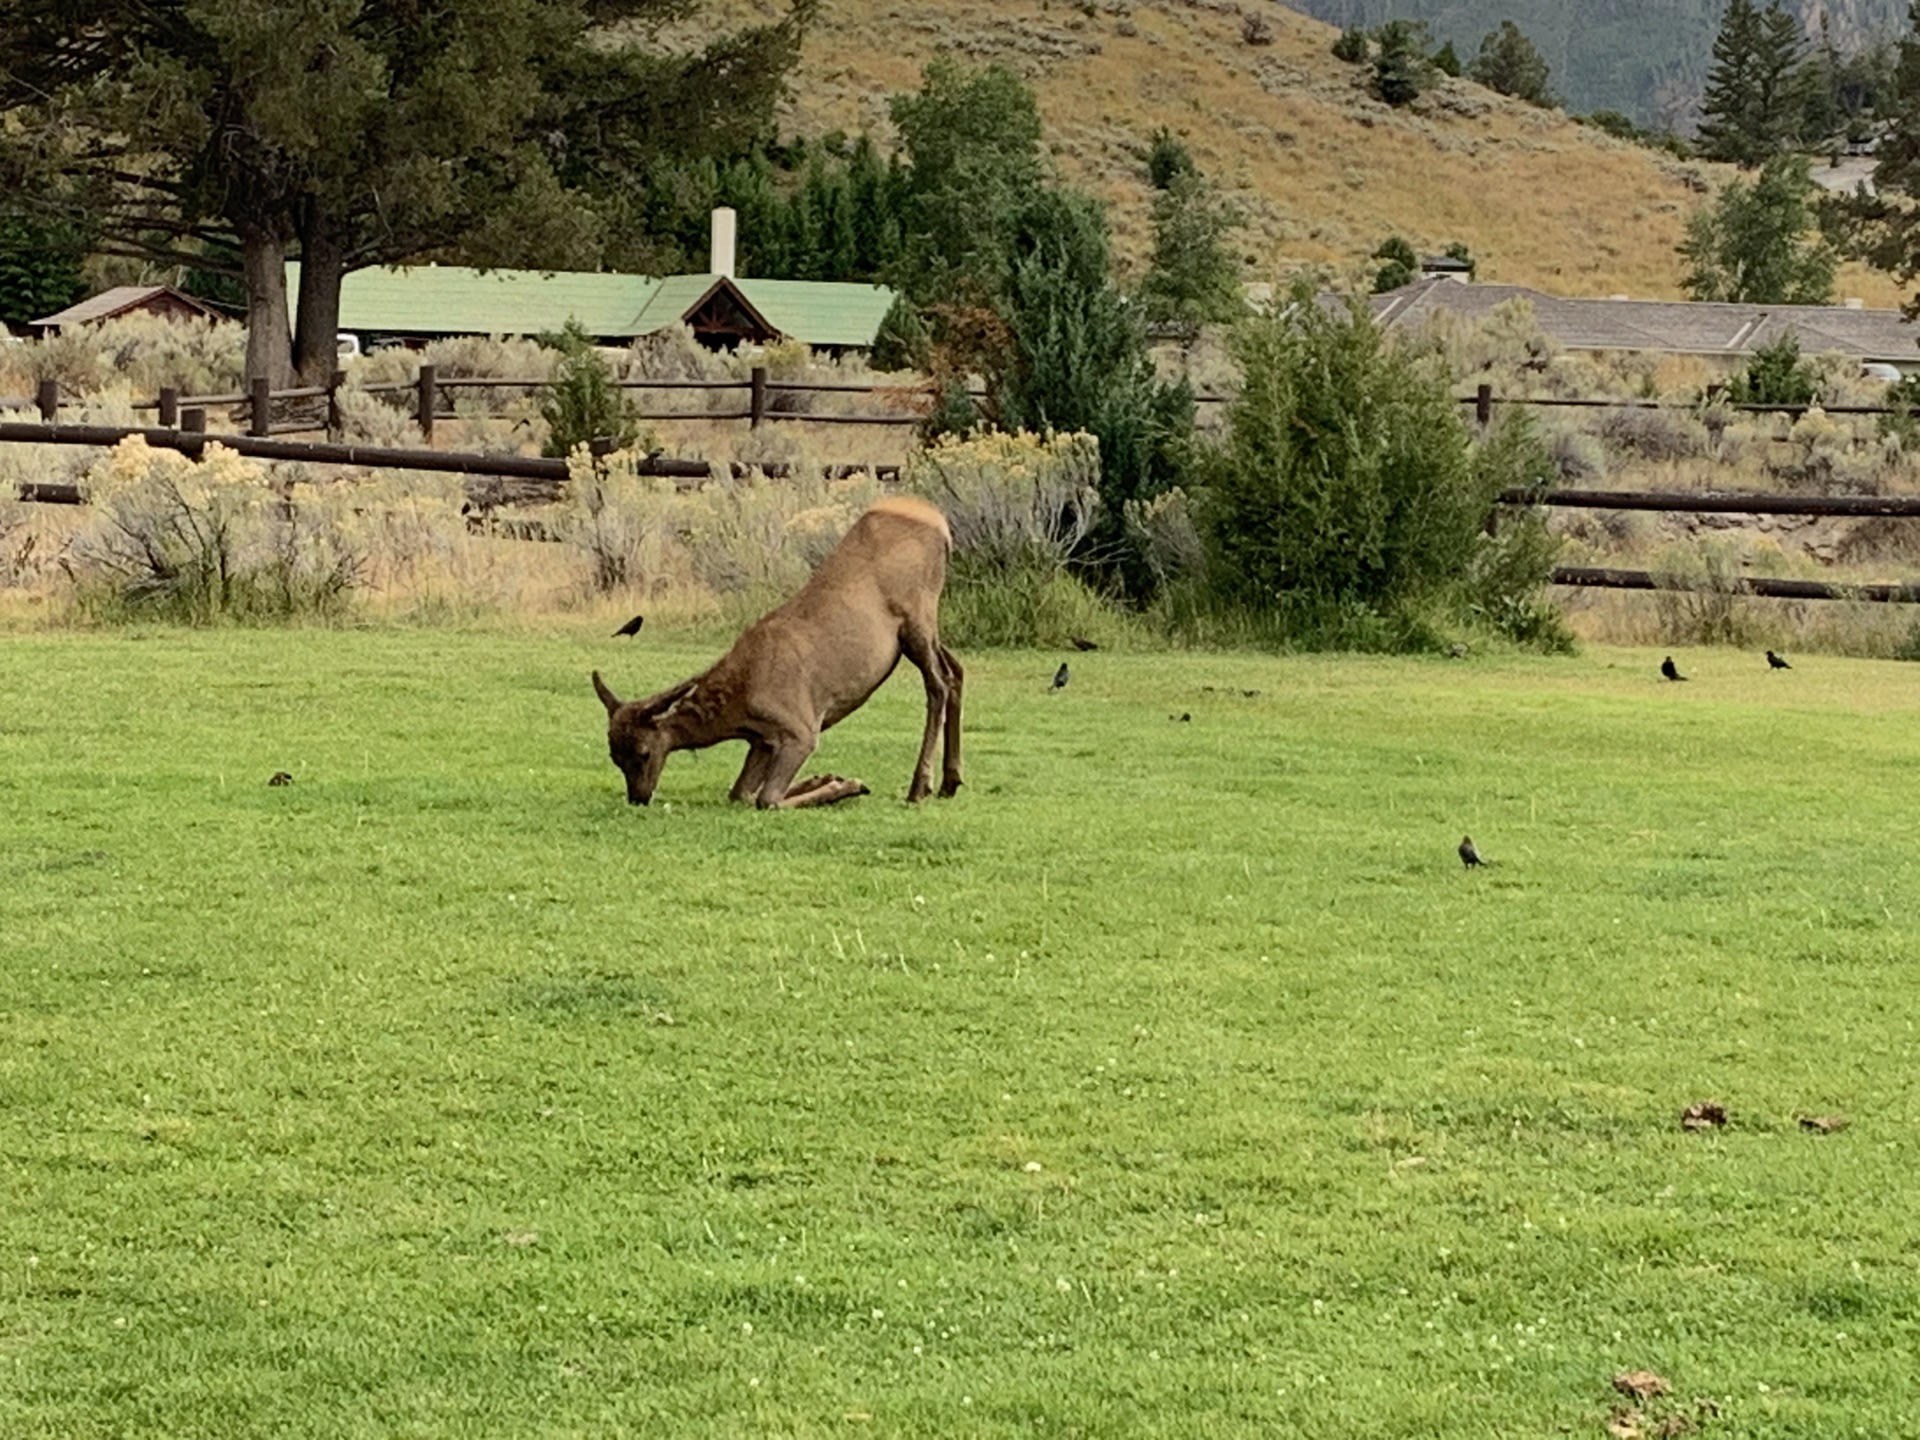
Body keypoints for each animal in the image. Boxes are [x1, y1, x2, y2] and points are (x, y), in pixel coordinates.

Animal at [591, 495, 967, 814]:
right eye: (613, 755)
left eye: (643, 752)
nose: (638, 798)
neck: (740, 702)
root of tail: (941, 524)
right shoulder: (762, 740)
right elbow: (741, 792)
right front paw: (826, 778)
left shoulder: (799, 728)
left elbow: (767, 798)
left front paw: (846, 785)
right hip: (924, 629)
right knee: (957, 670)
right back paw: (949, 782)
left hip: (916, 613)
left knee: (938, 682)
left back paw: (920, 786)